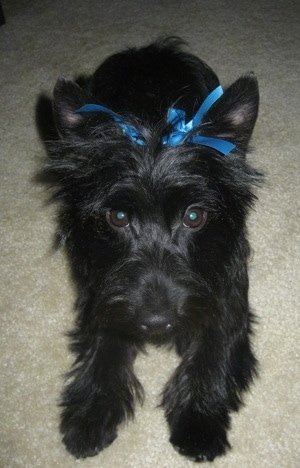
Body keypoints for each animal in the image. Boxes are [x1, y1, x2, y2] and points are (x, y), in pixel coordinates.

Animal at [43, 38, 262, 462]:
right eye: (118, 216)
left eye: (194, 216)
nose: (157, 324)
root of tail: (149, 50)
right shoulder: (102, 288)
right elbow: (104, 341)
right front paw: (92, 410)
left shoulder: (227, 285)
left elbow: (214, 347)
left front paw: (198, 420)